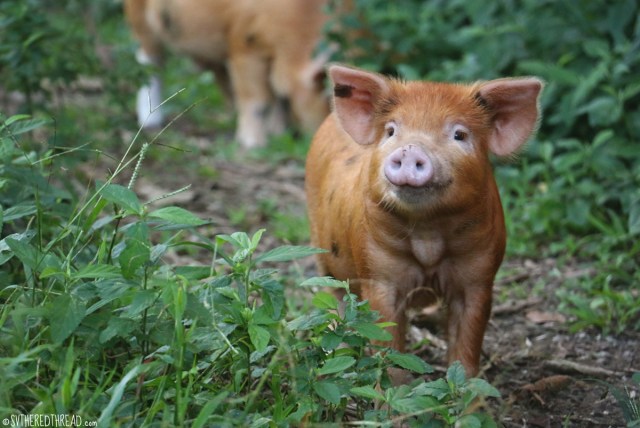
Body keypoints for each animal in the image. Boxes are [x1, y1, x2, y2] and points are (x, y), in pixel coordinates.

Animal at [123, 0, 331, 148]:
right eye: (326, 97)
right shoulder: (242, 43)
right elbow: (256, 98)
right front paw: (253, 144)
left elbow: (275, 95)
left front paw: (277, 134)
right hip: (139, 16)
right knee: (150, 61)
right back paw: (151, 123)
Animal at [305, 64, 542, 378]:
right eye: (391, 130)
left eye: (459, 134)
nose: (410, 149)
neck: (428, 234)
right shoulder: (376, 273)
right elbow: (387, 339)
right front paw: (395, 391)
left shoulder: (480, 276)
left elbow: (467, 342)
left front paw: (469, 391)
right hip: (324, 256)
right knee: (336, 300)